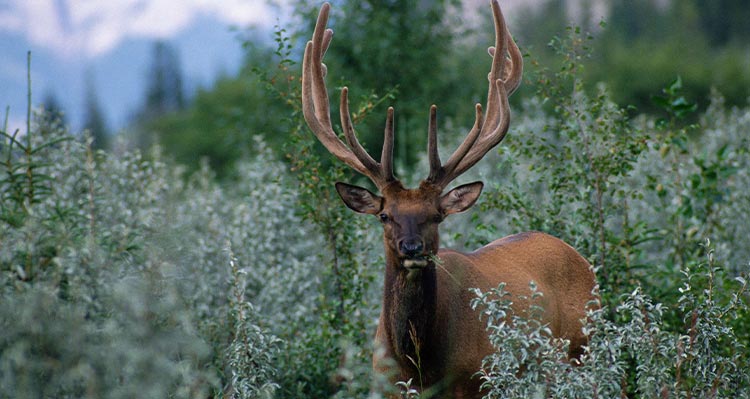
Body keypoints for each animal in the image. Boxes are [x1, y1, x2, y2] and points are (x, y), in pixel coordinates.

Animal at [300, 1, 600, 398]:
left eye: (436, 215)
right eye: (385, 215)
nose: (412, 247)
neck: (419, 365)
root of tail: (579, 258)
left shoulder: (475, 380)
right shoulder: (385, 384)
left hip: (584, 349)